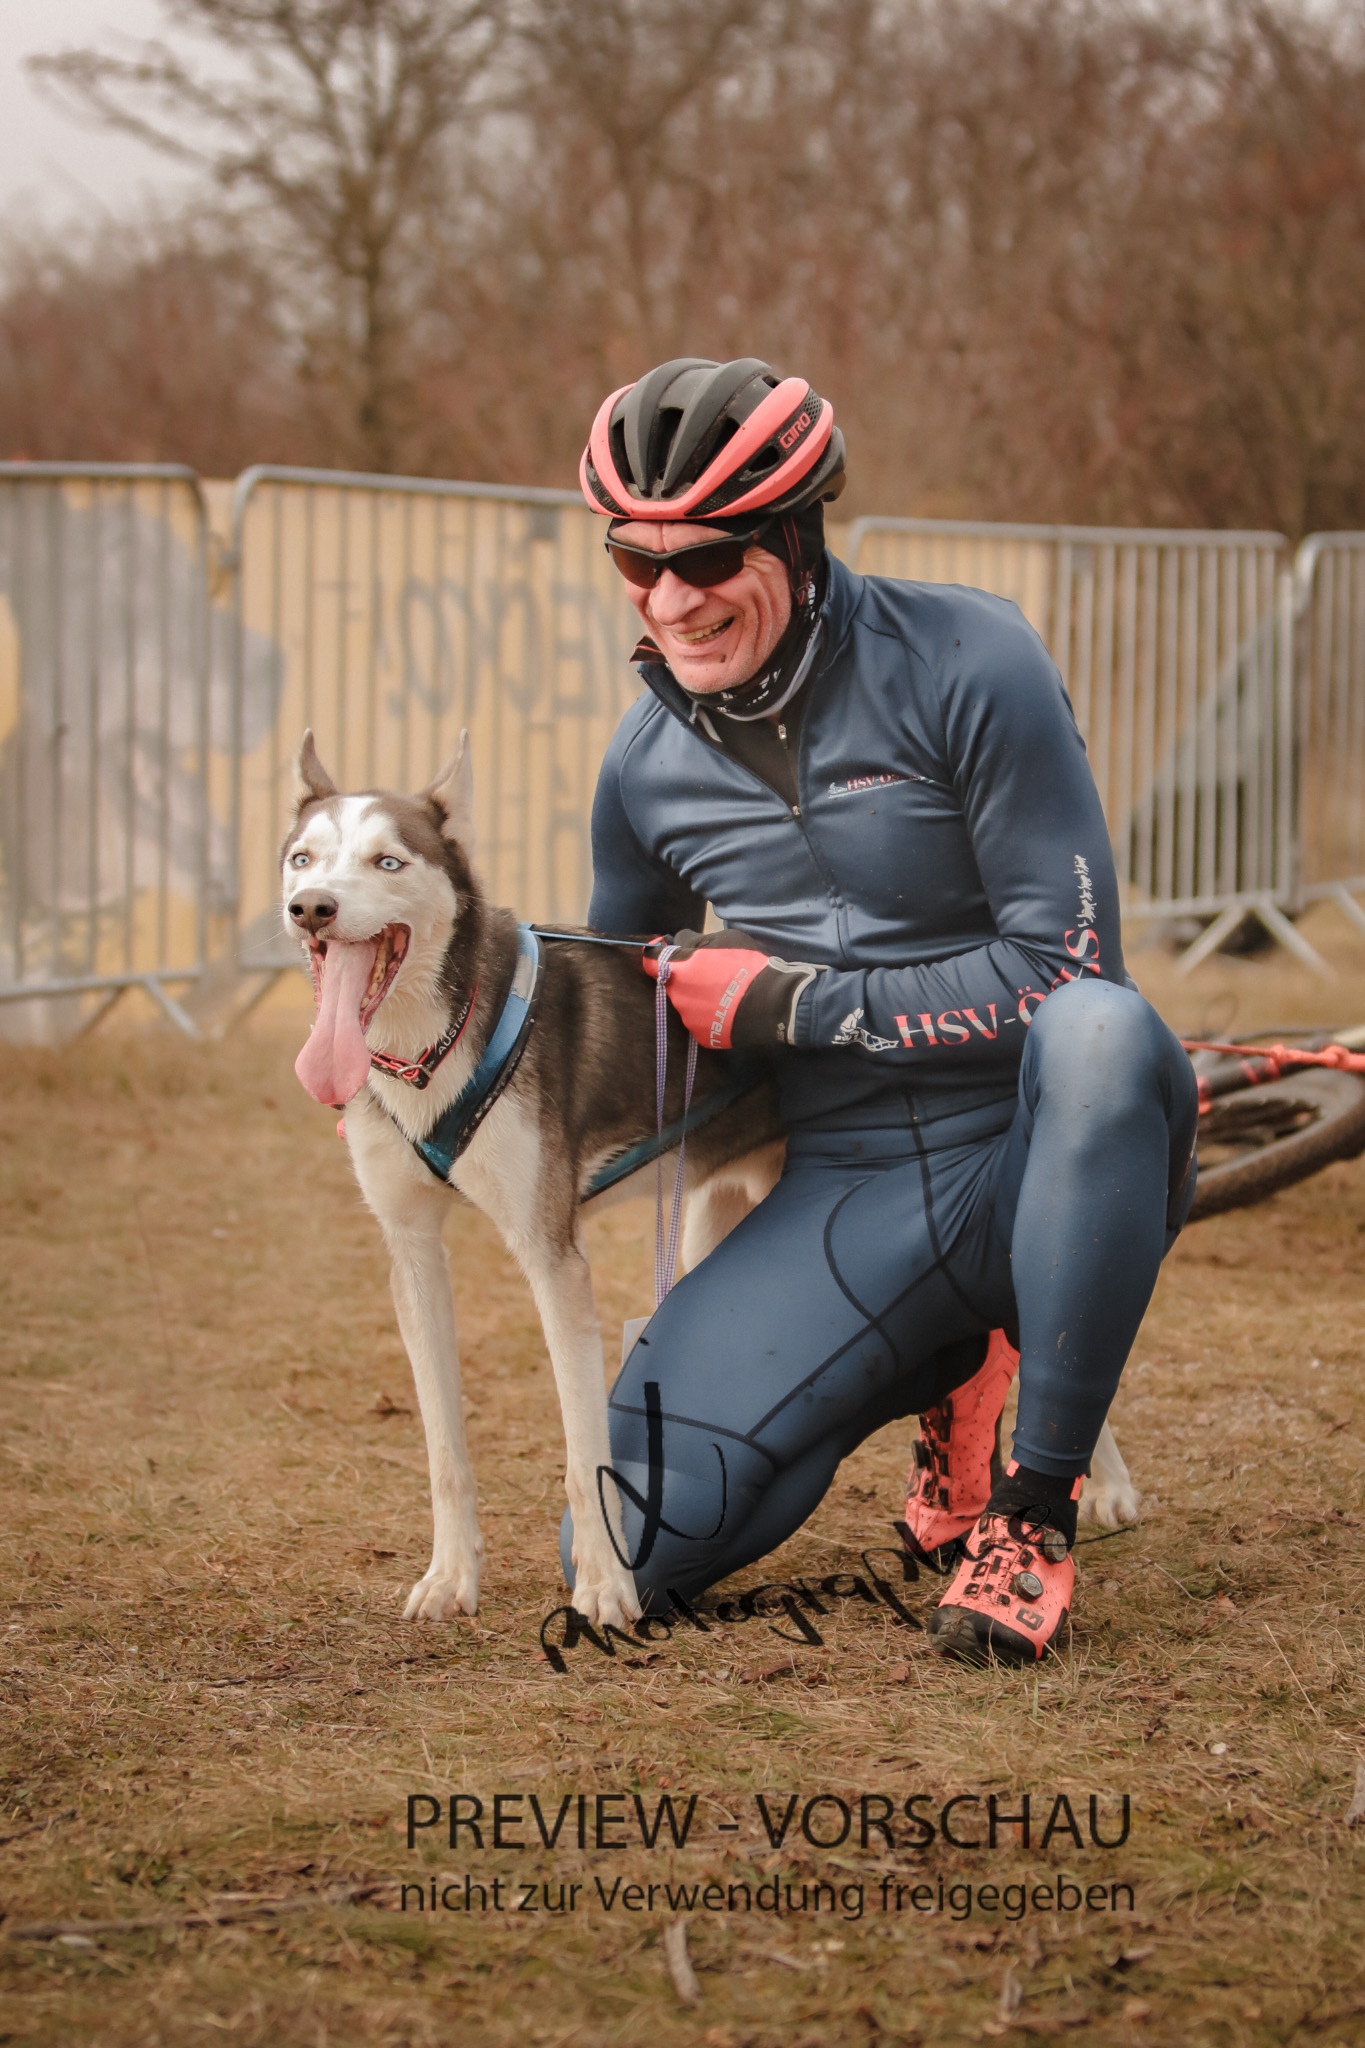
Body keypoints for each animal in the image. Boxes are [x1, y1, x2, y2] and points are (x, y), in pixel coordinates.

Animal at [282, 732, 1137, 1631]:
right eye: (301, 857)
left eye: (387, 860)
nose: (311, 907)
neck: (429, 1045)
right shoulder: (412, 1250)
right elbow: (445, 1449)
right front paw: (451, 1576)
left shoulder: (553, 1258)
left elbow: (584, 1449)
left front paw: (605, 1588)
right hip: (703, 1224)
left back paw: (1101, 1490)